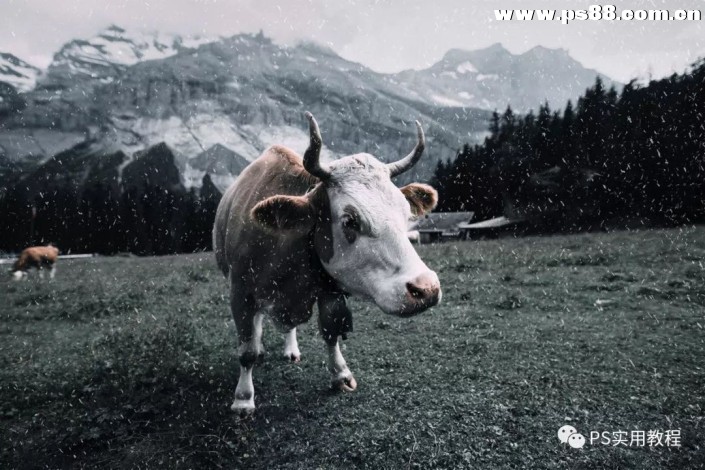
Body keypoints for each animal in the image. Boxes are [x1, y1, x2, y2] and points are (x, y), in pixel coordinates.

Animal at [213, 114, 440, 414]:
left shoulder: (329, 290)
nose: (426, 289)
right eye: (349, 220)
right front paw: (243, 398)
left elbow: (331, 331)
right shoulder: (240, 293)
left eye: (405, 212)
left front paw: (341, 375)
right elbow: (247, 349)